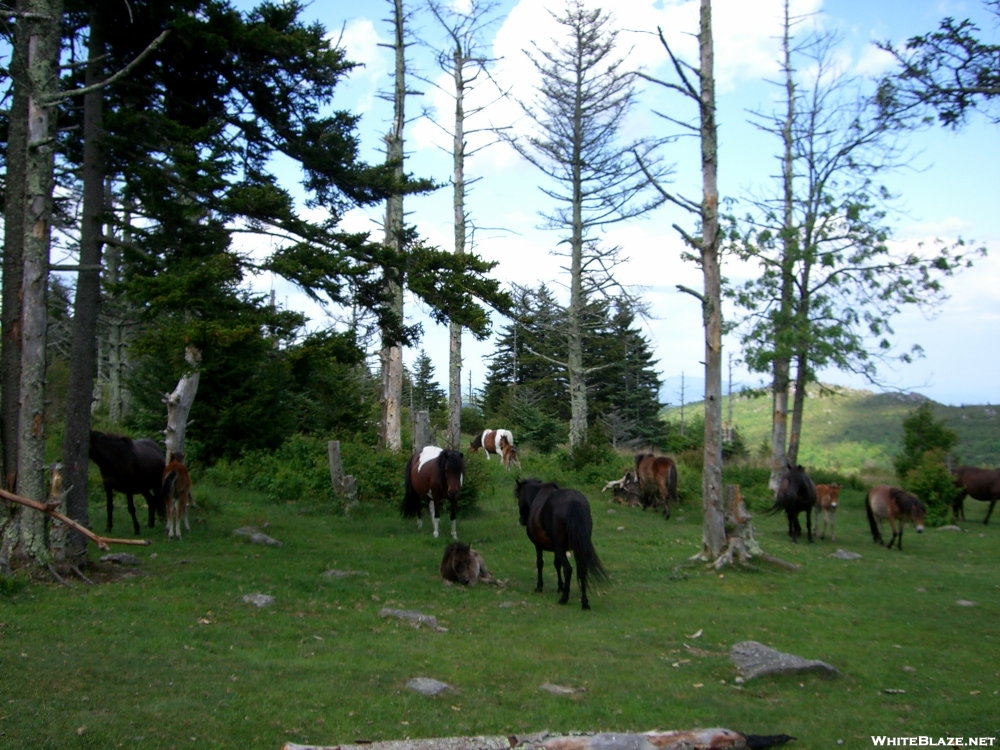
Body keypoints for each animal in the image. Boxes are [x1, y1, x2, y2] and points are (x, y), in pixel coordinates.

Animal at [516, 482, 608, 612]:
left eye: (518, 496)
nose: (522, 520)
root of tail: (574, 502)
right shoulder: (558, 549)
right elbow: (556, 564)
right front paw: (561, 586)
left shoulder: (540, 546)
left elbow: (540, 563)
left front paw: (540, 586)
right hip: (578, 548)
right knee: (582, 570)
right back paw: (584, 603)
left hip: (561, 548)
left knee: (568, 569)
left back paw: (564, 599)